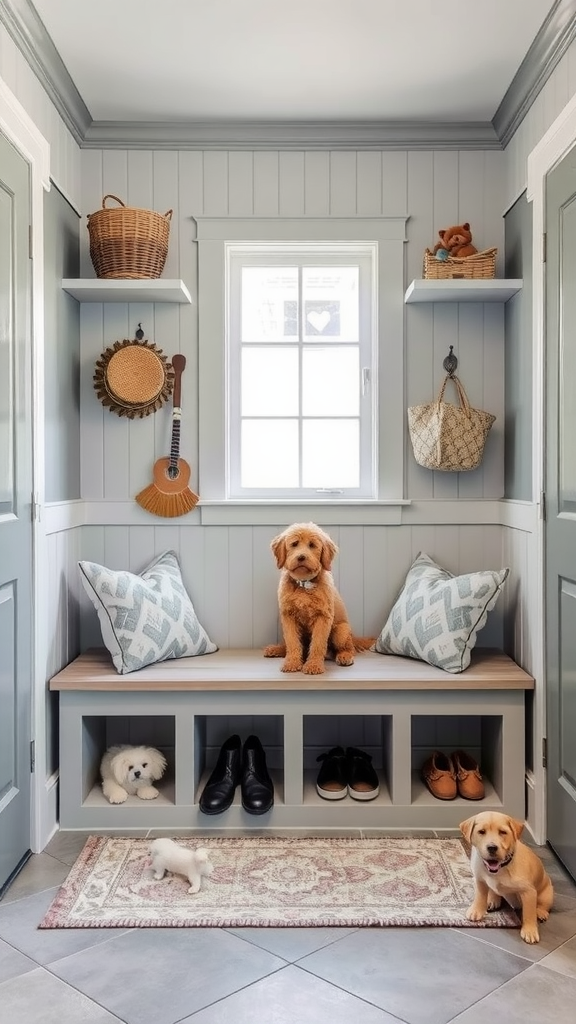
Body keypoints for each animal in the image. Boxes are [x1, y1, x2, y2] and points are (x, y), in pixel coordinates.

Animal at [264, 524, 375, 675]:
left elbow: (318, 643)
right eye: (294, 544)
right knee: (290, 645)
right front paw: (292, 662)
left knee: (347, 648)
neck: (304, 585)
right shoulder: (288, 617)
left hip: (341, 632)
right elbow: (292, 642)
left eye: (312, 545)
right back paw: (276, 649)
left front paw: (313, 665)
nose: (301, 557)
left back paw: (345, 656)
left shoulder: (323, 617)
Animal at [457, 806, 553, 942]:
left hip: (547, 893)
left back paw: (541, 912)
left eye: (502, 832)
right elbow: (480, 896)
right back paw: (492, 900)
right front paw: (476, 910)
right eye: (481, 831)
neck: (501, 868)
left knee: (542, 905)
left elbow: (529, 913)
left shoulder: (528, 892)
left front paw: (530, 931)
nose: (492, 847)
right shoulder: (479, 880)